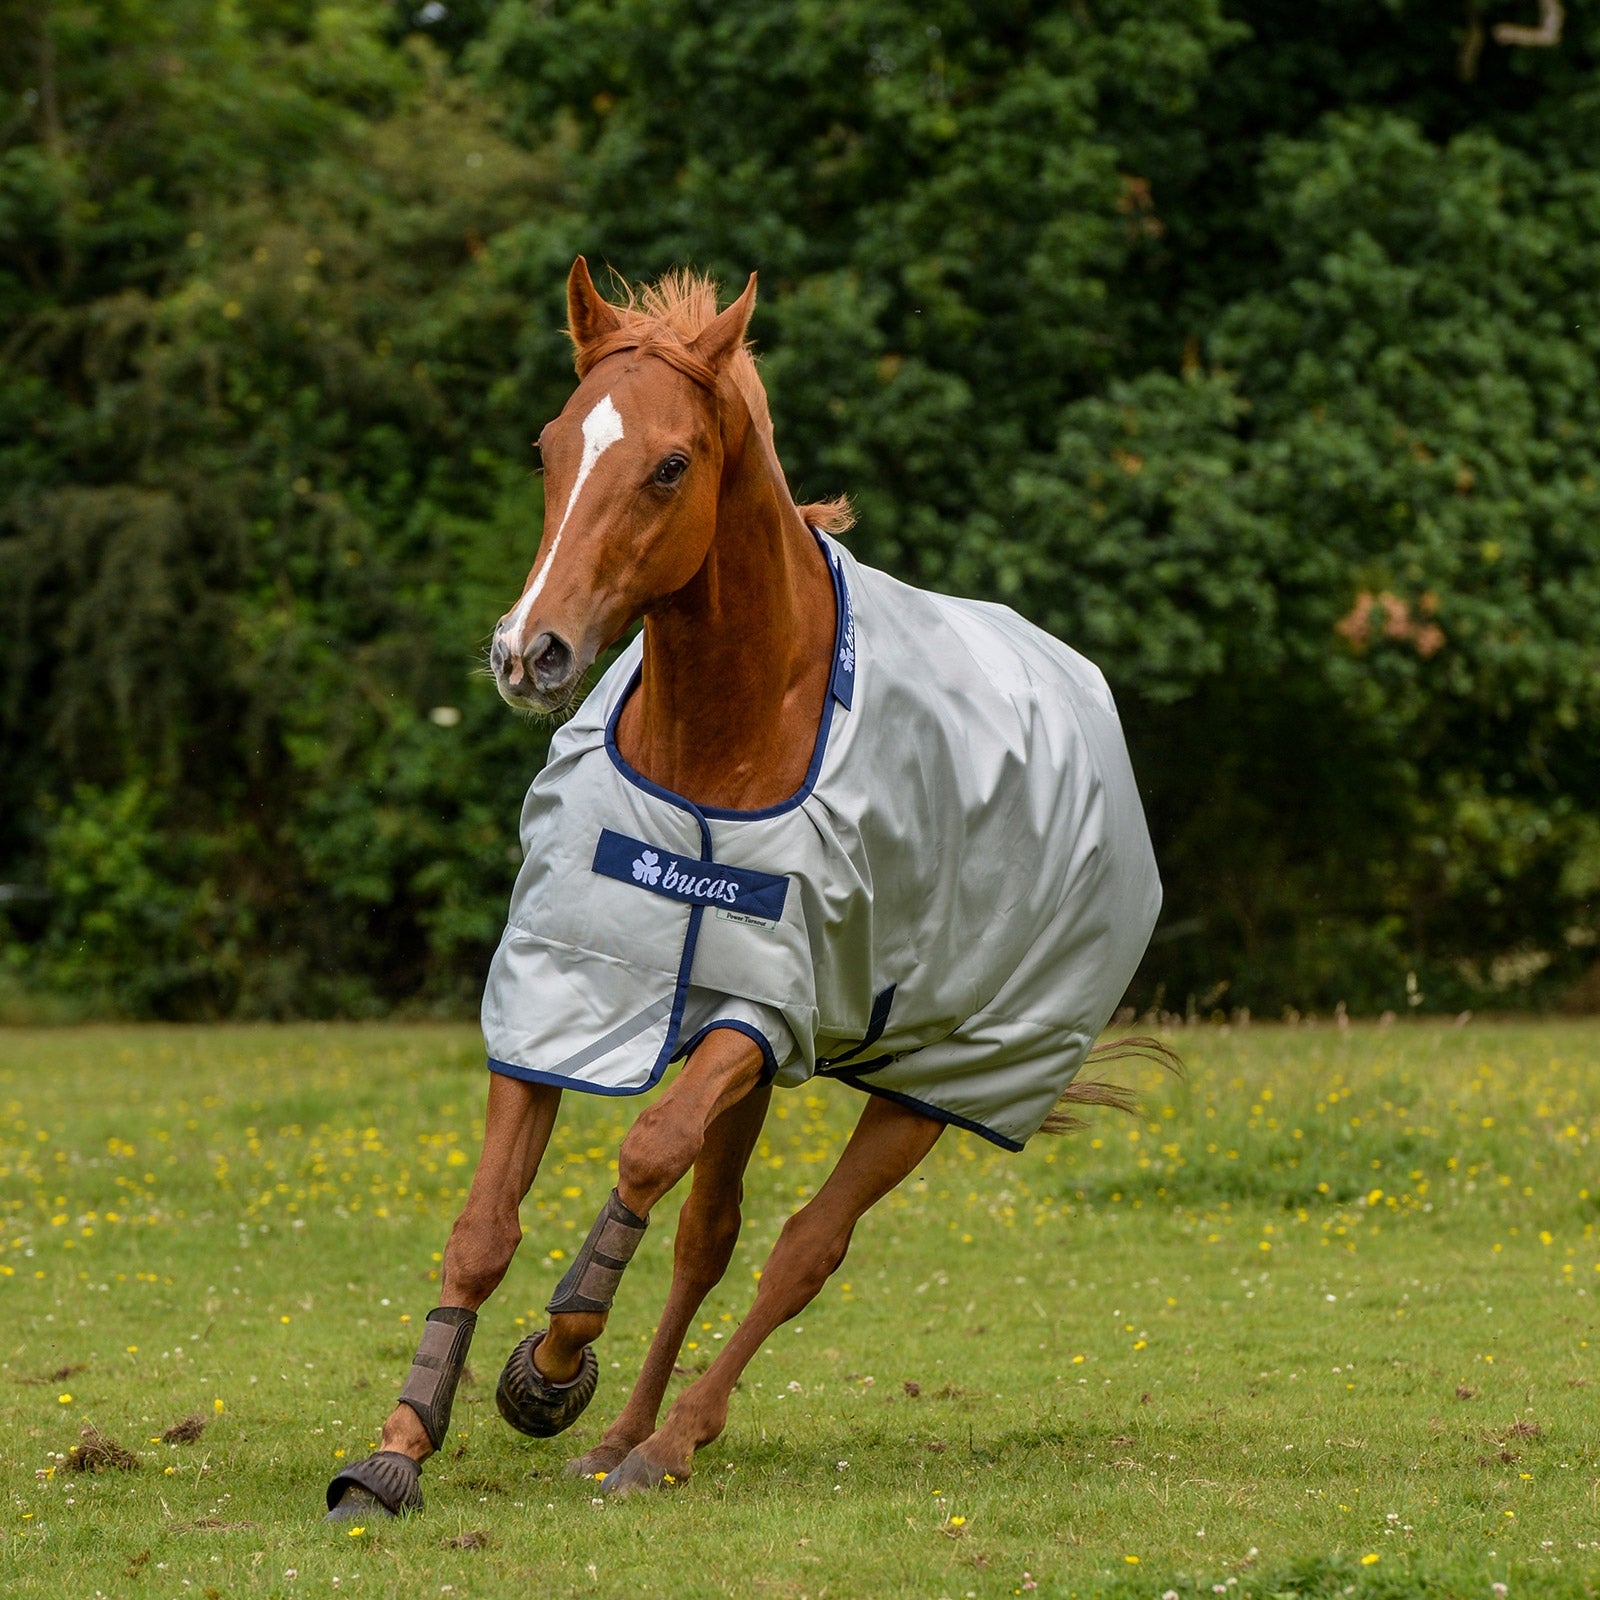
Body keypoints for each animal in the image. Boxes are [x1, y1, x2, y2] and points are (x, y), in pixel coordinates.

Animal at [324, 259, 1168, 1519]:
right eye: (550, 446)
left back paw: (670, 1439)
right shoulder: (556, 985)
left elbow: (645, 1150)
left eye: (670, 464)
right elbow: (486, 1224)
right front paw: (400, 1444)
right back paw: (620, 1435)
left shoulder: (761, 1011)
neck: (714, 753)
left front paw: (551, 1362)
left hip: (936, 1081)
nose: (531, 653)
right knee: (708, 1239)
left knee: (800, 1249)